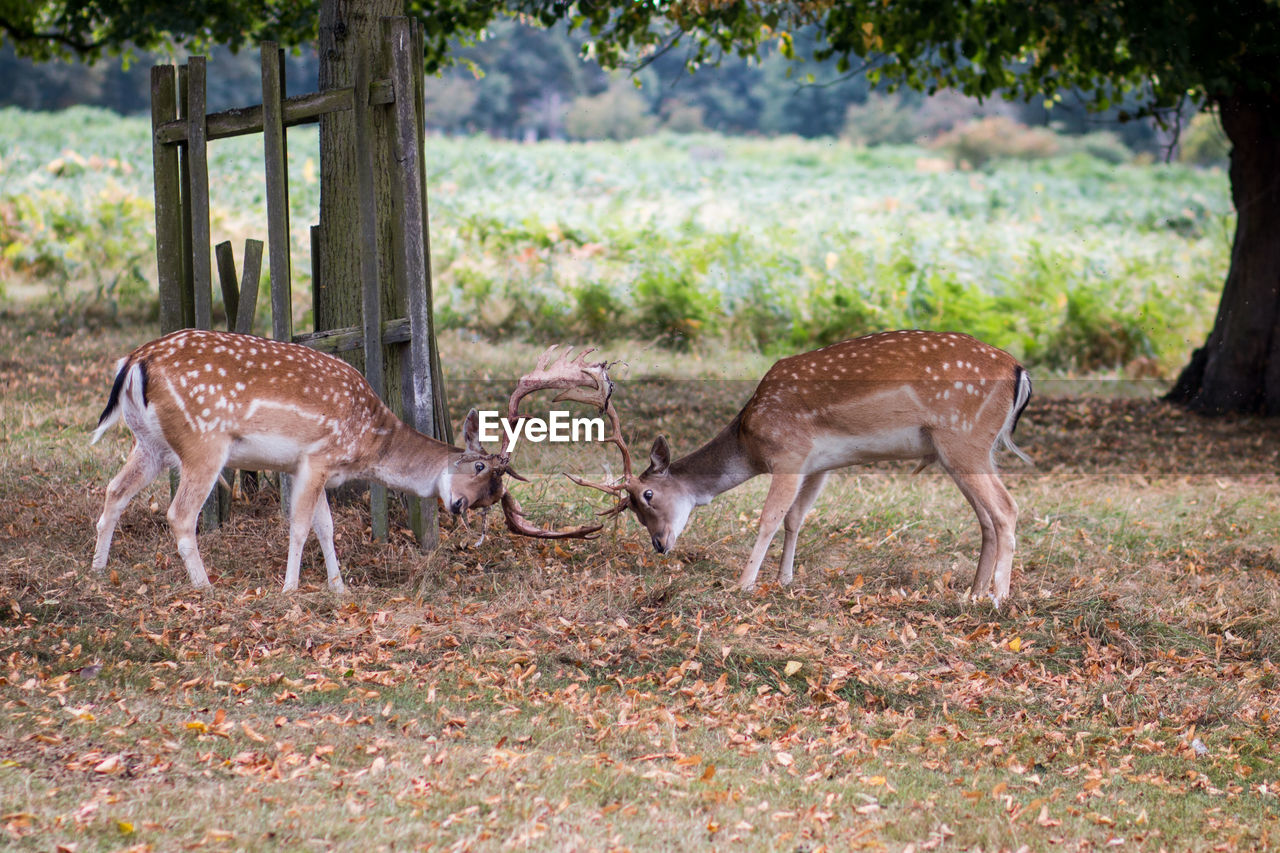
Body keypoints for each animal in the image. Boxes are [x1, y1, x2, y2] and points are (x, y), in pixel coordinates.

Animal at [92, 326, 601, 591]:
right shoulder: (318, 456)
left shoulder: (313, 467)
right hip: (203, 441)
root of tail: (135, 361)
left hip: (152, 443)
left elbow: (326, 525)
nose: (457, 506)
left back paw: (97, 570)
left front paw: (339, 587)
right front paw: (291, 590)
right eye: (478, 468)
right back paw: (206, 586)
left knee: (115, 490)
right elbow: (300, 525)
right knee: (179, 513)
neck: (368, 440)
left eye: (492, 497)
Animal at [514, 327, 1034, 601]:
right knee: (987, 517)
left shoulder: (788, 452)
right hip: (964, 450)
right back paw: (973, 591)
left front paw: (743, 584)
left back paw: (997, 598)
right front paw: (784, 580)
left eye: (647, 495)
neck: (750, 440)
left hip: (963, 438)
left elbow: (768, 517)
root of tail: (1019, 372)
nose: (660, 545)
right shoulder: (819, 463)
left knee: (1007, 509)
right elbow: (796, 518)